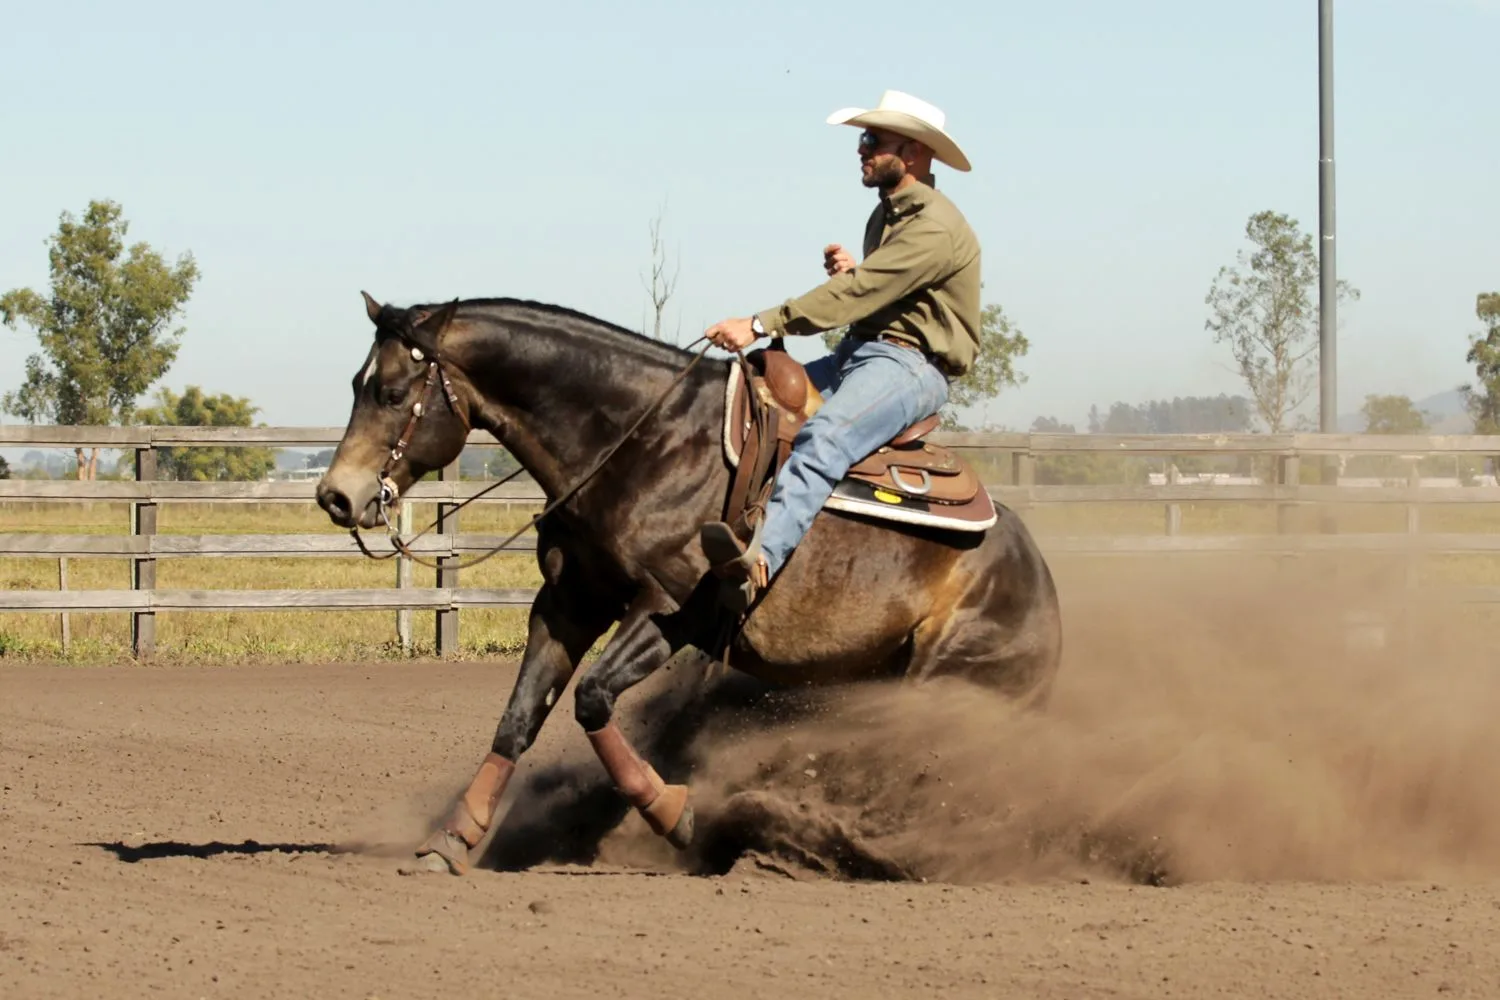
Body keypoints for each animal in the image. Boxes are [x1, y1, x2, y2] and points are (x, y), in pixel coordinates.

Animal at [315, 292, 1063, 876]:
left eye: (389, 392)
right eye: (352, 385)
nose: (337, 497)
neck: (645, 441)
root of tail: (1041, 586)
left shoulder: (669, 609)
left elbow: (591, 700)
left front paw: (675, 811)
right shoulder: (567, 604)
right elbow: (519, 718)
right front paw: (454, 837)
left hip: (946, 679)